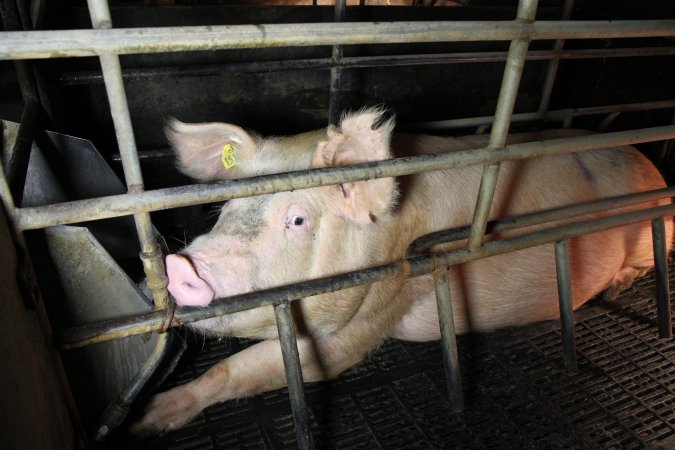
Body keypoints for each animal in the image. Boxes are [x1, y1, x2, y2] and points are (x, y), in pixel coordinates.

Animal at [129, 109, 672, 436]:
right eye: (225, 207)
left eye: (297, 219)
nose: (179, 265)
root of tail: (647, 159)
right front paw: (144, 419)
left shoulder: (383, 297)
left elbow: (270, 365)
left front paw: (145, 420)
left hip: (658, 228)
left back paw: (620, 284)